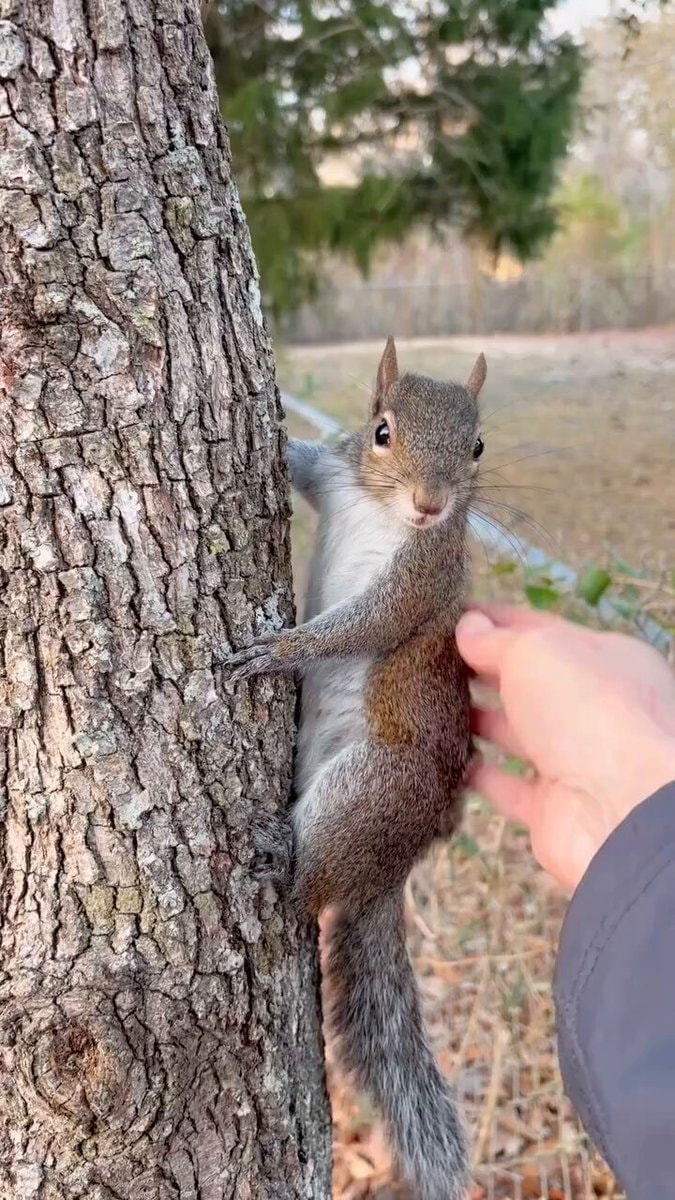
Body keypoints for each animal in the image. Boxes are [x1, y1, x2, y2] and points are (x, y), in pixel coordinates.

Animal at [226, 337, 487, 1200]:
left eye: (477, 447)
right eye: (380, 432)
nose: (431, 505)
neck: (382, 512)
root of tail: (392, 864)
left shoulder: (419, 580)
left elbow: (363, 625)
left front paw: (283, 649)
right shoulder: (333, 479)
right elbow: (303, 461)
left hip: (368, 787)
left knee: (307, 893)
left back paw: (280, 860)